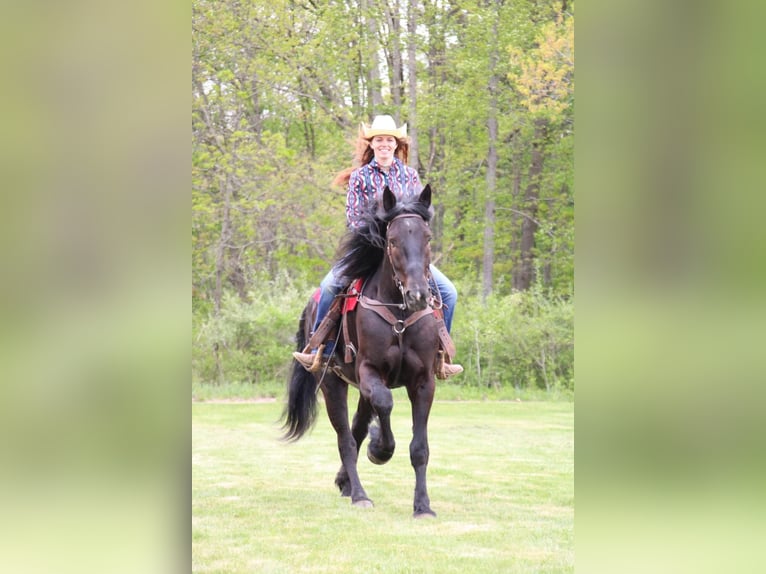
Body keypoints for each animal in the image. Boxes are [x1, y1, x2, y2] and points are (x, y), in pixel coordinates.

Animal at [284, 187, 440, 520]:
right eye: (391, 239)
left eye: (428, 237)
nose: (418, 295)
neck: (399, 314)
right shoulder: (370, 372)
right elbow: (384, 404)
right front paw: (380, 449)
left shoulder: (424, 382)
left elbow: (419, 448)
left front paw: (423, 506)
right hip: (332, 382)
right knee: (346, 438)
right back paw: (358, 493)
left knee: (356, 429)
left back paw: (345, 482)